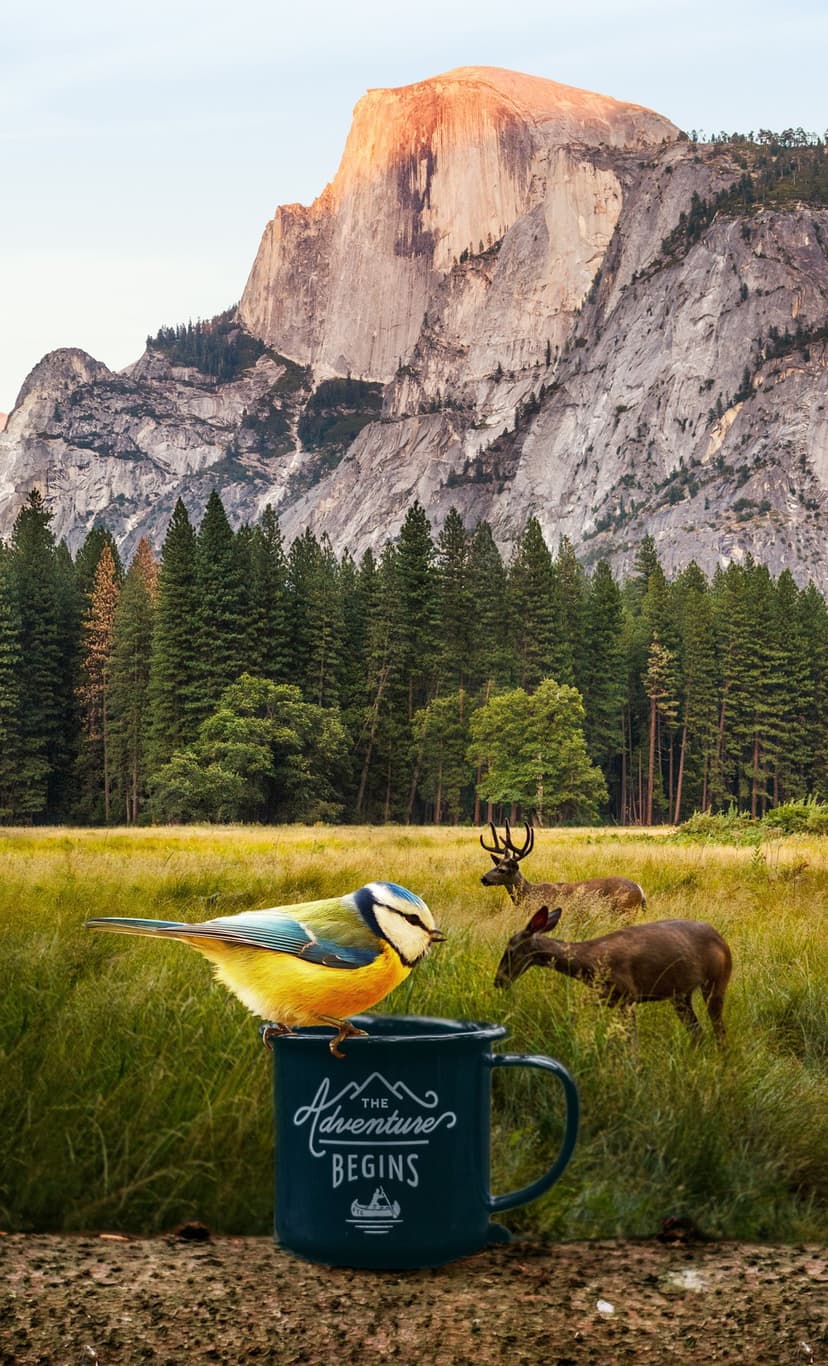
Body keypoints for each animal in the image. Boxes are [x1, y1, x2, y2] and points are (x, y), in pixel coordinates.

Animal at [480, 821, 646, 916]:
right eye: (496, 865)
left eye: (502, 870)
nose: (483, 878)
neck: (529, 895)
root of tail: (640, 889)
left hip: (626, 911)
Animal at [494, 905, 732, 1044]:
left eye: (510, 950)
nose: (498, 981)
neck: (590, 962)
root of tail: (722, 940)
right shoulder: (605, 997)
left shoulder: (628, 995)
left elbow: (631, 1043)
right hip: (680, 995)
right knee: (698, 1032)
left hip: (717, 982)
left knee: (719, 1031)